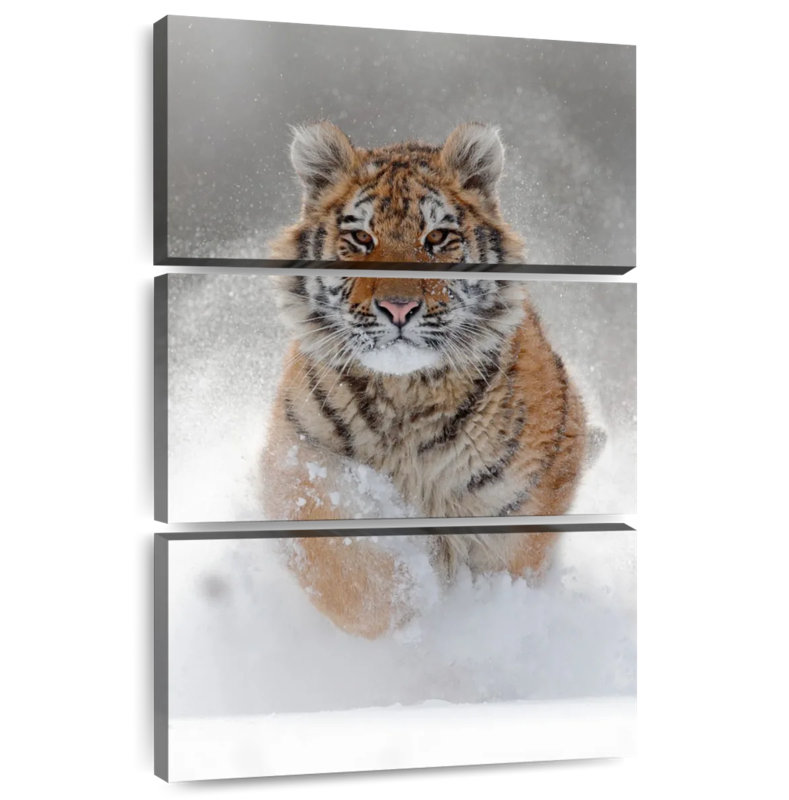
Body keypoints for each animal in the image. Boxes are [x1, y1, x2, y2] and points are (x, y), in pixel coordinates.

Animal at [262, 122, 588, 638]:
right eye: (361, 237)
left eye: (436, 237)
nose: (398, 308)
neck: (406, 397)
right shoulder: (299, 459)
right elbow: (347, 571)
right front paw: (409, 609)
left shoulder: (522, 501)